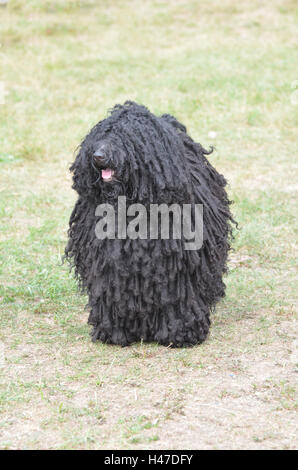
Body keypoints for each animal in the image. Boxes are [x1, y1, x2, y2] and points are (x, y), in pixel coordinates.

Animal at [66, 102, 235, 346]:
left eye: (125, 135)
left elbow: (178, 295)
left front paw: (181, 332)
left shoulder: (178, 264)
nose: (98, 155)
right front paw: (115, 331)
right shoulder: (106, 261)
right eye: (101, 134)